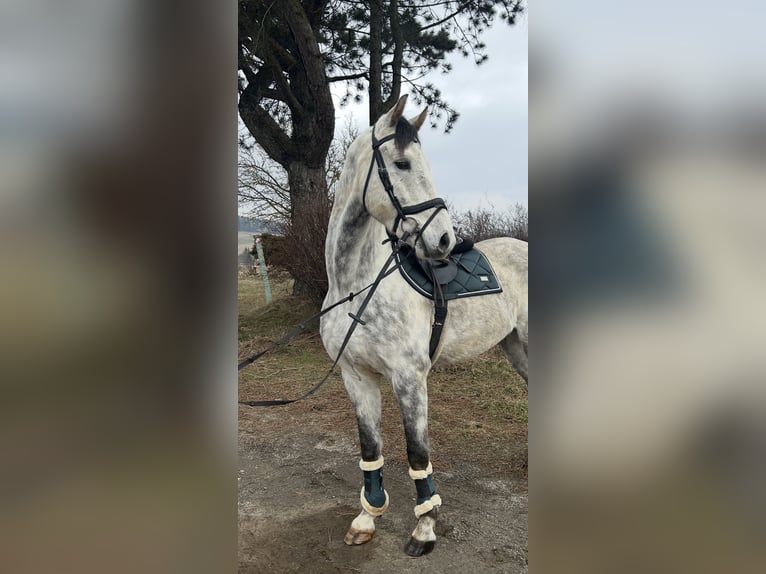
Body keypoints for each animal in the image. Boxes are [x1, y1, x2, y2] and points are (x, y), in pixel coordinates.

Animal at [318, 93, 528, 560]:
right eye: (401, 164)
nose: (445, 240)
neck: (356, 287)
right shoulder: (356, 376)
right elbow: (370, 447)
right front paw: (367, 518)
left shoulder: (409, 378)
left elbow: (417, 454)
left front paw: (425, 529)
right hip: (516, 347)